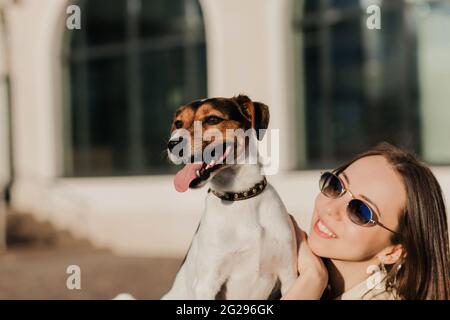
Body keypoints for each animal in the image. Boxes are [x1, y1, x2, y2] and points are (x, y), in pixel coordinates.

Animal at [163, 95, 298, 300]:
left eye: (212, 119)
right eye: (178, 123)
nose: (172, 144)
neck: (240, 196)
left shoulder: (289, 274)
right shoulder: (206, 284)